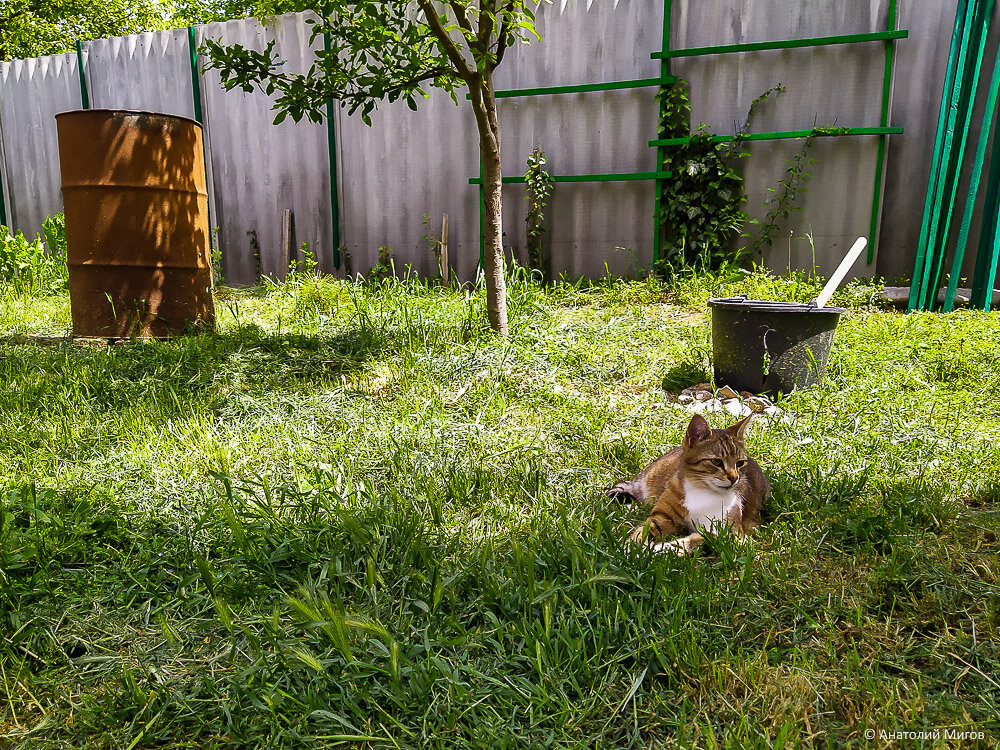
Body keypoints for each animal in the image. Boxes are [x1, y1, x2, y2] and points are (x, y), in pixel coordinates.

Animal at [604, 414, 768, 556]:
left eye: (740, 463)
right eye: (716, 462)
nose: (734, 478)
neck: (703, 491)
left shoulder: (731, 534)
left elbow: (693, 540)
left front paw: (660, 549)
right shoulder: (662, 516)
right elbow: (644, 530)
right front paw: (630, 548)